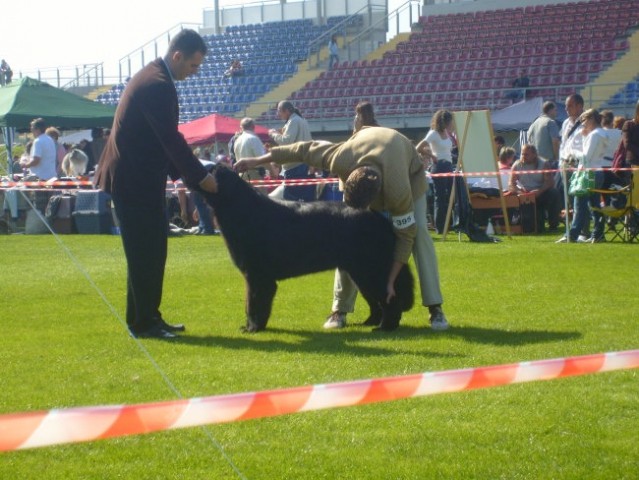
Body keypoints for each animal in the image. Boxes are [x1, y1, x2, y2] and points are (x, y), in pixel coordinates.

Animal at [200, 165, 416, 330]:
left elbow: (253, 304)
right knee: (376, 302)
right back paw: (369, 322)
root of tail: (379, 220)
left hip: (371, 271)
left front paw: (252, 328)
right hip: (360, 272)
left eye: (209, 170)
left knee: (389, 299)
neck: (242, 209)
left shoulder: (257, 276)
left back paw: (385, 327)